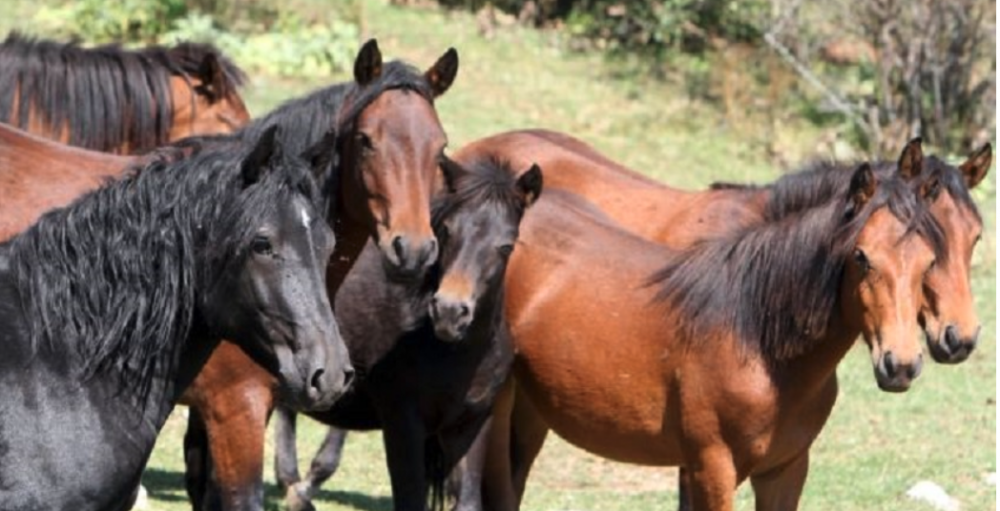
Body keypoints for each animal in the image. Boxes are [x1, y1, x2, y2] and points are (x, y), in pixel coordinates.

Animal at [468, 159, 944, 508]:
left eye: (930, 261)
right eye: (861, 256)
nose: (900, 365)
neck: (757, 340)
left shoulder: (785, 470)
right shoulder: (713, 468)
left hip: (531, 413)